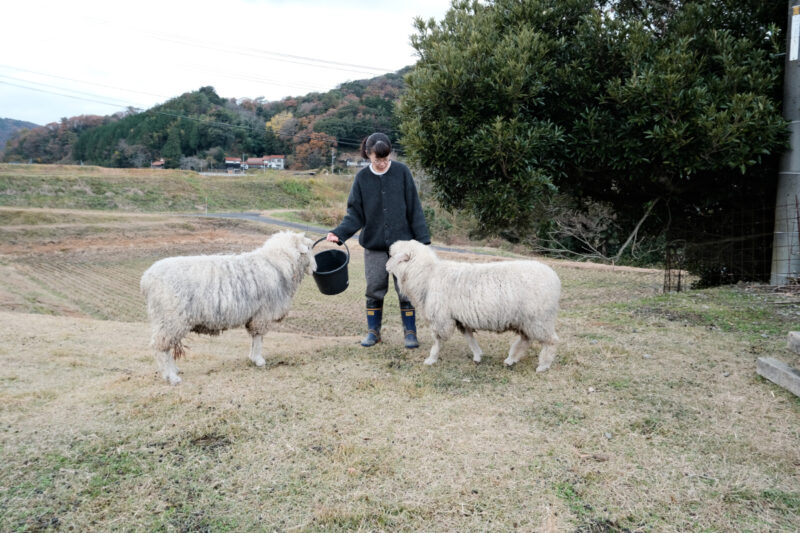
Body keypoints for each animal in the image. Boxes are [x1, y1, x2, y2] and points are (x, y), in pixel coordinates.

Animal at [139, 231, 314, 384]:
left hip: (165, 320)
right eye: (310, 247)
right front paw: (258, 360)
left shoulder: (255, 316)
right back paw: (171, 377)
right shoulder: (262, 314)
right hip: (171, 319)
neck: (277, 264)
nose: (315, 268)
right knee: (161, 347)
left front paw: (252, 357)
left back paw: (174, 370)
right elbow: (258, 338)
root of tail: (146, 279)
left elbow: (254, 339)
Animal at [384, 241, 560, 370]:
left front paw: (431, 358)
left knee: (551, 341)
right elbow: (470, 338)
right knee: (526, 339)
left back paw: (543, 365)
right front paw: (477, 356)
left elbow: (437, 341)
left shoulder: (441, 318)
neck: (427, 275)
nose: (385, 266)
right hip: (527, 320)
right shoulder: (460, 319)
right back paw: (511, 359)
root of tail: (554, 277)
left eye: (392, 255)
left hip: (539, 318)